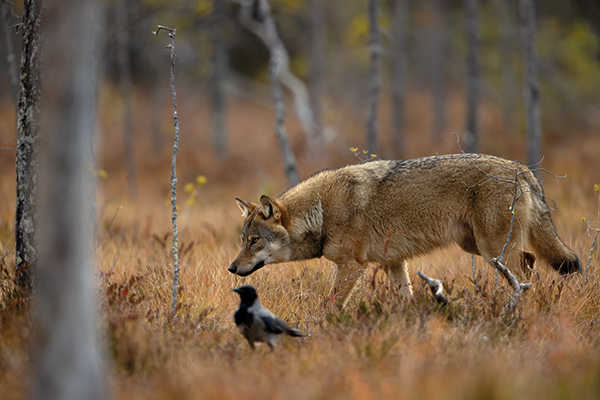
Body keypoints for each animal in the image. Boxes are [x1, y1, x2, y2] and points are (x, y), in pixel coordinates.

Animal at [227, 152, 580, 306]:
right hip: (477, 247)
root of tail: (521, 168)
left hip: (492, 251)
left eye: (254, 241)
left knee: (524, 273)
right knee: (531, 262)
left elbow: (331, 305)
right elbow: (405, 299)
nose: (231, 268)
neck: (322, 211)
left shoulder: (352, 266)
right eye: (243, 240)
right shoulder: (394, 263)